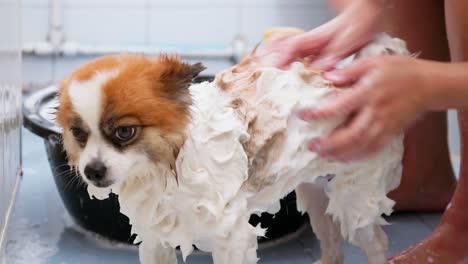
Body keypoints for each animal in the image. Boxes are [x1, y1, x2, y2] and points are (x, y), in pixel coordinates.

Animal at [56, 34, 410, 262]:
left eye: (125, 132)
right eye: (78, 133)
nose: (93, 170)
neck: (168, 169)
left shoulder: (232, 239)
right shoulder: (155, 239)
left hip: (355, 201)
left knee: (375, 241)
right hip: (315, 195)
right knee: (333, 244)